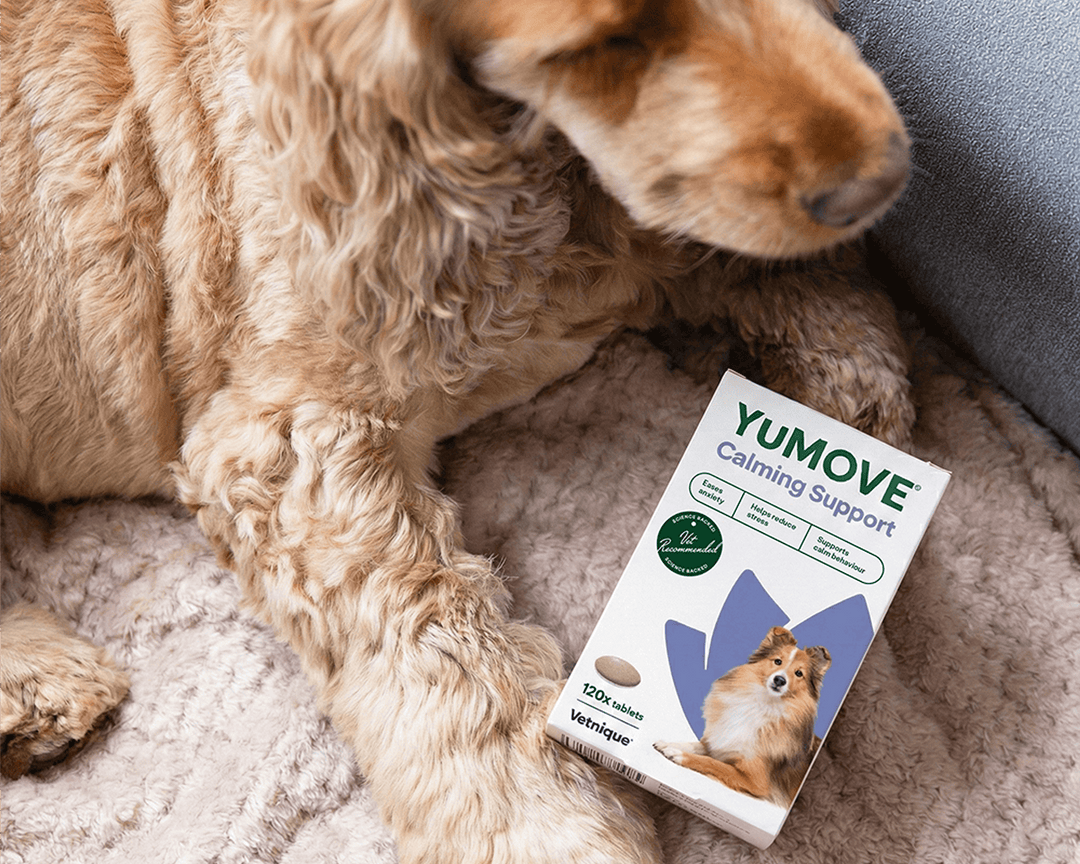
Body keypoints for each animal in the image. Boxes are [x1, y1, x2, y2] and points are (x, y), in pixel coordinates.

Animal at [655, 626, 831, 807]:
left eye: (799, 673)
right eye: (777, 661)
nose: (779, 680)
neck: (762, 704)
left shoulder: (755, 781)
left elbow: (713, 763)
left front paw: (677, 754)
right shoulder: (719, 744)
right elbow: (696, 745)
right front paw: (667, 744)